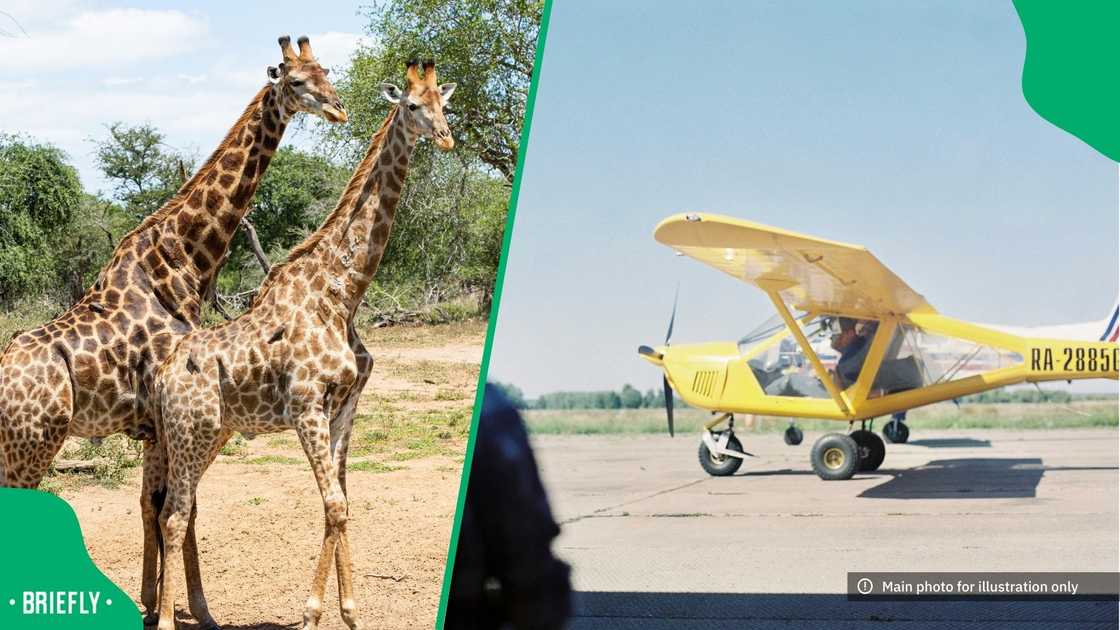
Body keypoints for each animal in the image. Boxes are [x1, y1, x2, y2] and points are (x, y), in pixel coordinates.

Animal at [0, 36, 345, 629]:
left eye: (326, 71)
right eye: (297, 82)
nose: (339, 108)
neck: (184, 259)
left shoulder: (151, 424)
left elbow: (153, 505)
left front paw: (152, 603)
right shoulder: (171, 415)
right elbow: (178, 507)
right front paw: (196, 610)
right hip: (32, 444)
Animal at [151, 60, 454, 630]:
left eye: (443, 103)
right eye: (411, 105)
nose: (446, 137)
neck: (343, 294)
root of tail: (160, 375)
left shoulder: (346, 404)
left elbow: (342, 500)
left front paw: (350, 612)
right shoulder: (306, 404)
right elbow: (334, 504)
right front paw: (314, 614)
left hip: (212, 433)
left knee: (177, 508)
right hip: (188, 431)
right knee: (173, 514)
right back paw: (162, 619)